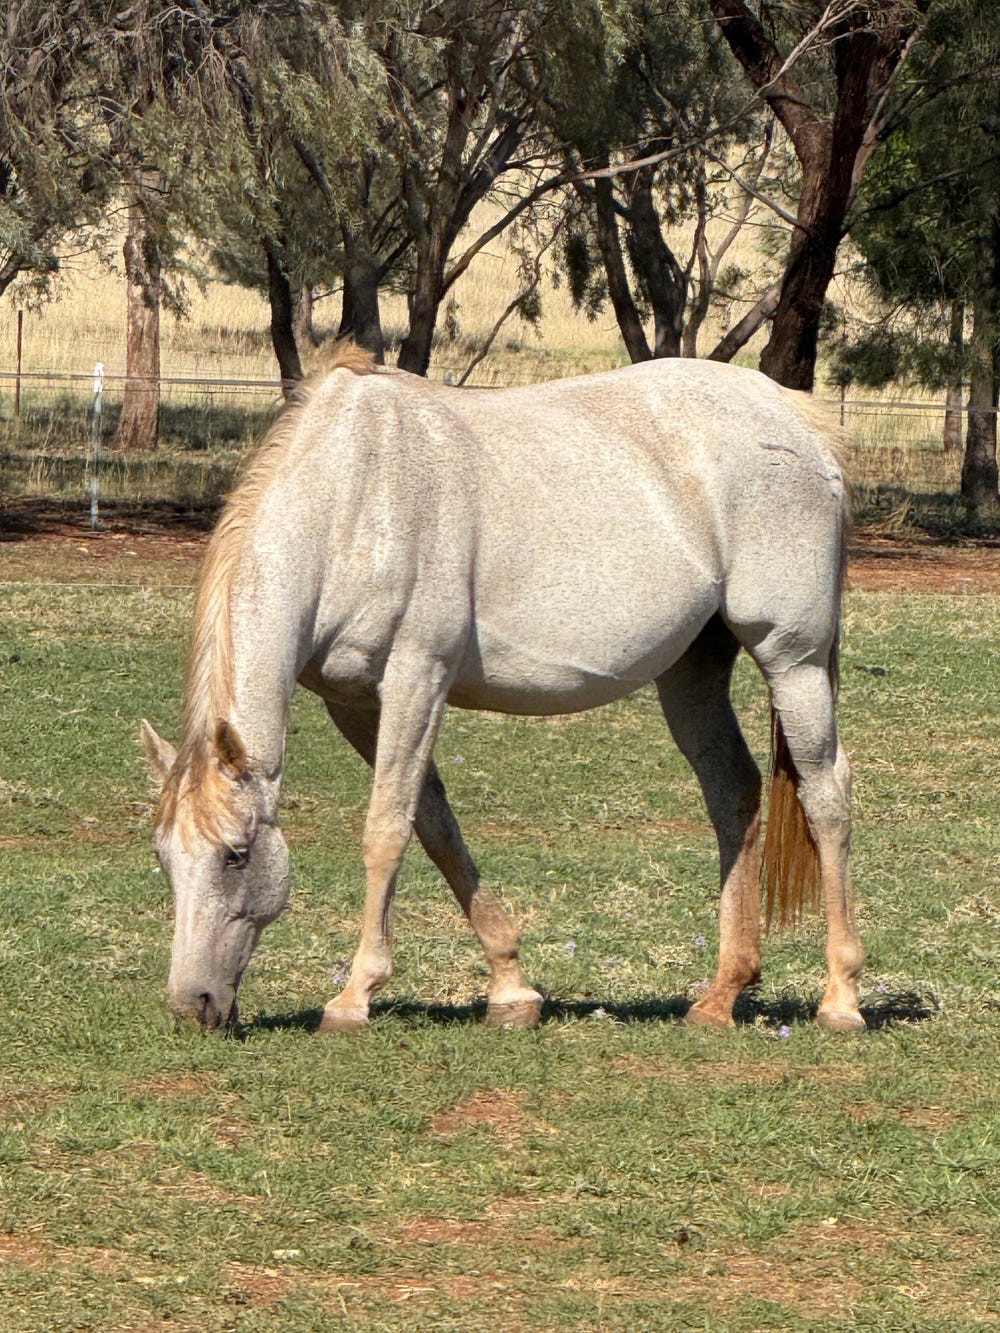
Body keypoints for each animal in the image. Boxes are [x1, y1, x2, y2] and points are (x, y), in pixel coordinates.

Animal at [141, 343, 865, 1035]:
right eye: (165, 859)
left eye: (236, 855)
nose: (191, 1004)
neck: (353, 498)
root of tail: (793, 414)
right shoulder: (355, 702)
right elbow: (435, 826)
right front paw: (511, 986)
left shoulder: (417, 677)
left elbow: (387, 829)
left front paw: (354, 996)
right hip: (693, 670)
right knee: (733, 792)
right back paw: (721, 994)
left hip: (793, 661)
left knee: (826, 794)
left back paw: (841, 996)